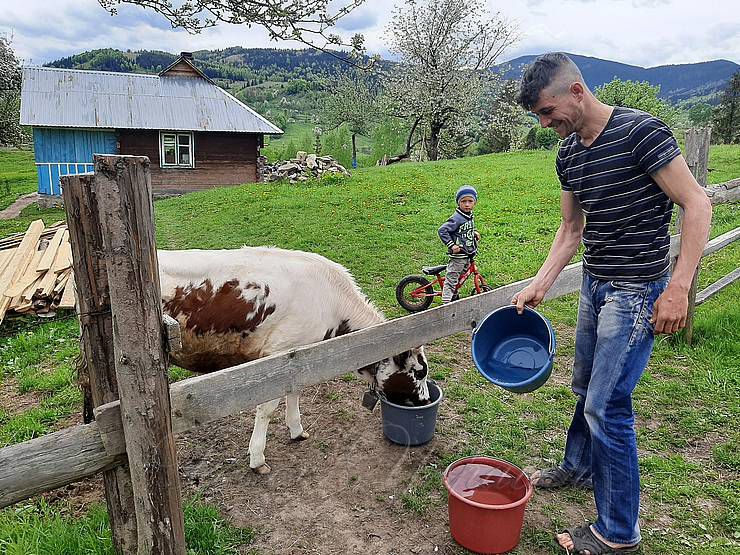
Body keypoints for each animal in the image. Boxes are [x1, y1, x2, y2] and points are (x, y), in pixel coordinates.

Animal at [159, 248, 430, 474]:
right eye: (419, 372)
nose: (425, 401)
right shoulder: (276, 355)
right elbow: (267, 409)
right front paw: (257, 459)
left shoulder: (298, 358)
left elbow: (295, 392)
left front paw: (297, 431)